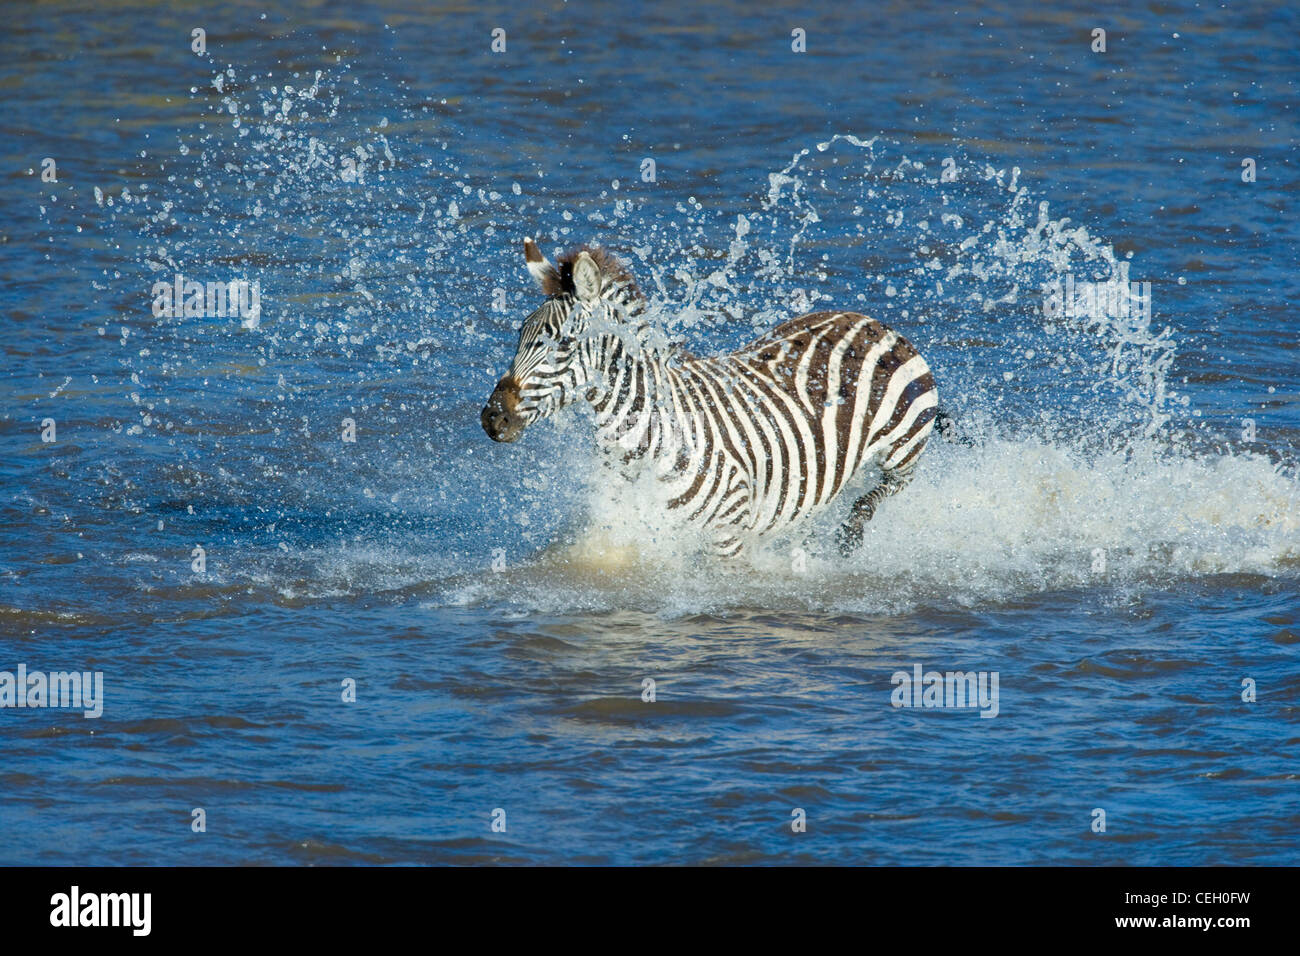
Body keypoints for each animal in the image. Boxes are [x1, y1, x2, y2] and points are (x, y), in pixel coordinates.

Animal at [481, 239, 940, 558]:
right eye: (519, 335)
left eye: (563, 344)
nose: (492, 418)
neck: (647, 439)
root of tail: (868, 319)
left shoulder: (727, 532)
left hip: (904, 445)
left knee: (890, 487)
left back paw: (850, 534)